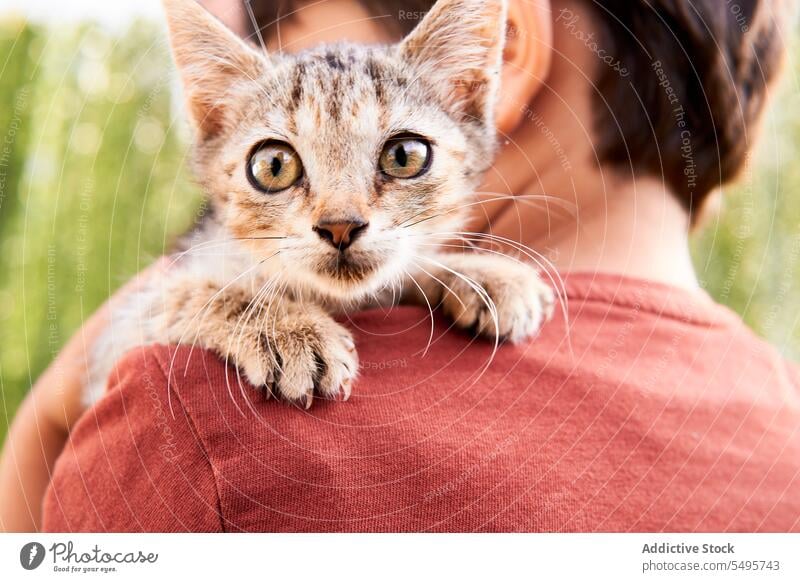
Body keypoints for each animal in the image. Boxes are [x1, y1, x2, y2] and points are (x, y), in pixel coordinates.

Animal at [86, 0, 556, 408]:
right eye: (274, 165)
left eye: (404, 156)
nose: (340, 225)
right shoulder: (118, 338)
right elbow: (193, 292)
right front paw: (291, 331)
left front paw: (484, 274)